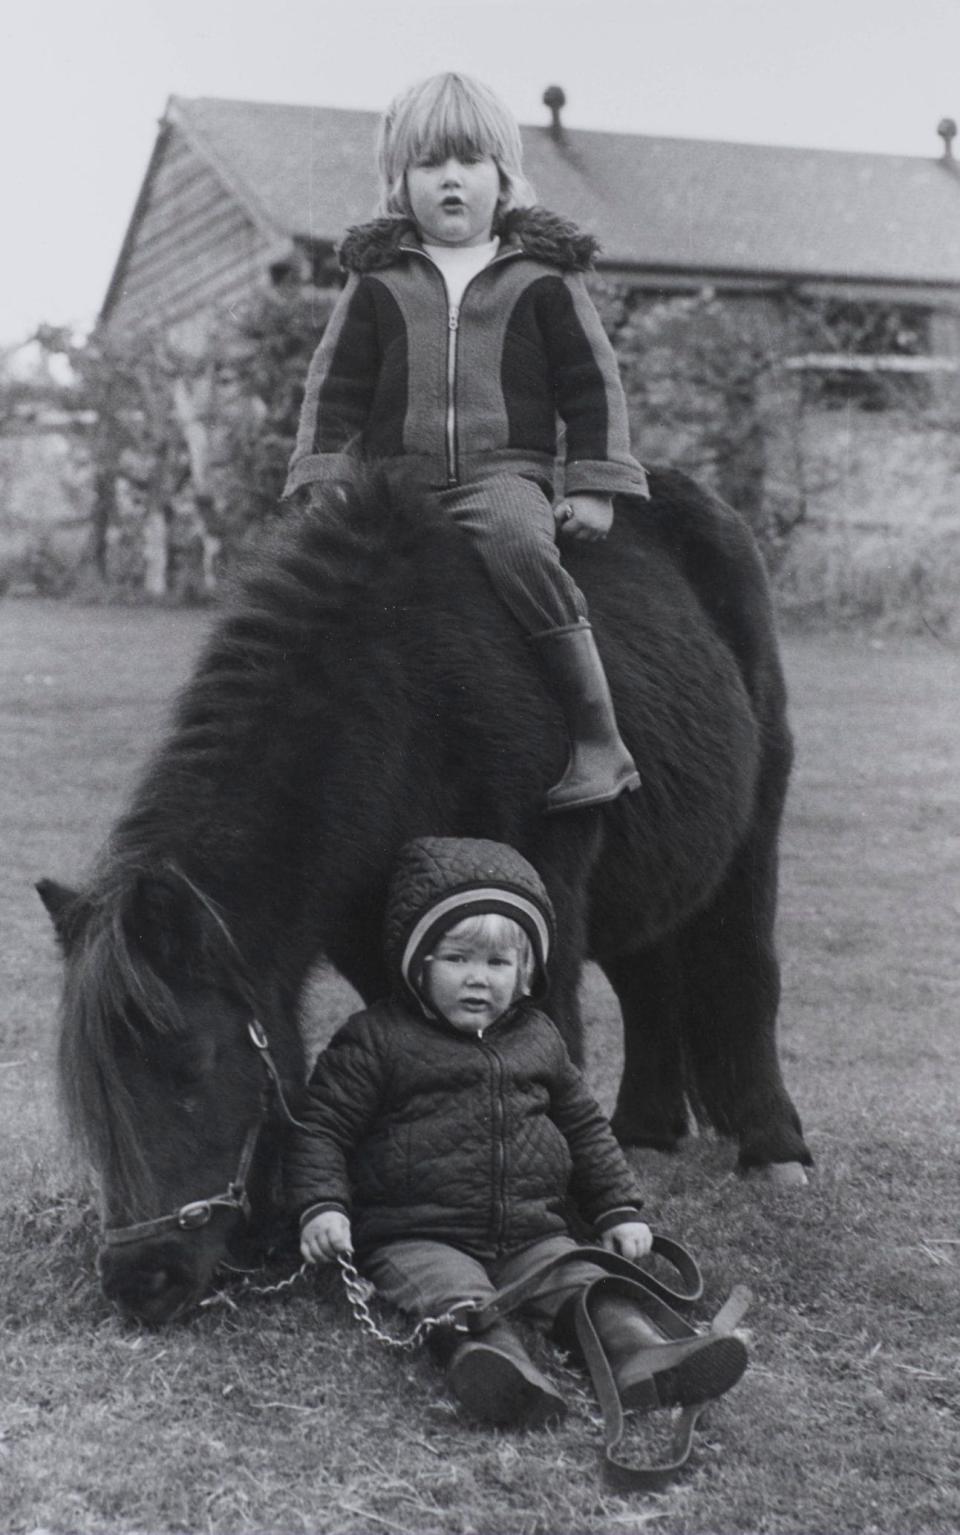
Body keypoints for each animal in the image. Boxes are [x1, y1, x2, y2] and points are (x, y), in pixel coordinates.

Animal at [43, 466, 811, 1320]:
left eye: (190, 1065)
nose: (140, 1279)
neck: (405, 700)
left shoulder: (538, 906)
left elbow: (547, 1043)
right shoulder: (374, 930)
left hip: (751, 835)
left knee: (745, 970)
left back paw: (773, 1146)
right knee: (648, 981)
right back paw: (644, 1131)